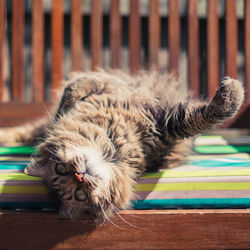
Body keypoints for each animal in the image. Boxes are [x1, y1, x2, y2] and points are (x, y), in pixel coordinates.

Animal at [0, 70, 244, 223]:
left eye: (60, 168)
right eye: (80, 195)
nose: (80, 175)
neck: (111, 142)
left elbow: (75, 92)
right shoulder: (166, 127)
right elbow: (200, 117)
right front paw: (233, 92)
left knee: (29, 130)